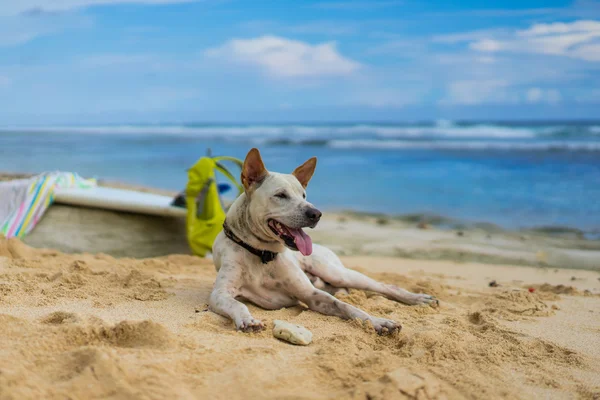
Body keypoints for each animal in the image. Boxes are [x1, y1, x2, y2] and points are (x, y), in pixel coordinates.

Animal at [209, 148, 438, 334]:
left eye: (303, 195)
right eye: (281, 195)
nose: (316, 213)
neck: (262, 254)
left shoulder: (311, 294)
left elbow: (347, 307)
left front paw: (377, 321)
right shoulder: (220, 294)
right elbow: (238, 304)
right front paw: (248, 319)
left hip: (337, 273)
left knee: (384, 285)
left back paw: (419, 298)